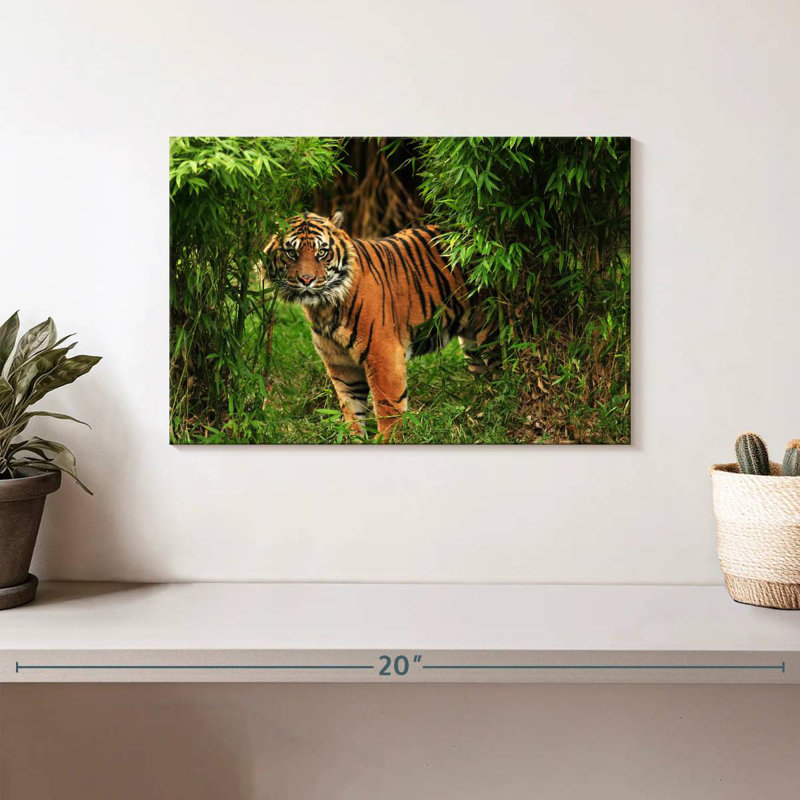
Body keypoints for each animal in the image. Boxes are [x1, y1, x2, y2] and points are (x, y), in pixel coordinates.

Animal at [262, 211, 495, 439]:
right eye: (291, 253)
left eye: (322, 253)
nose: (306, 279)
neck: (323, 307)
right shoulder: (341, 364)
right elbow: (352, 410)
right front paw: (353, 439)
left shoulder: (383, 355)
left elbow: (388, 406)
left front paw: (387, 439)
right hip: (472, 344)